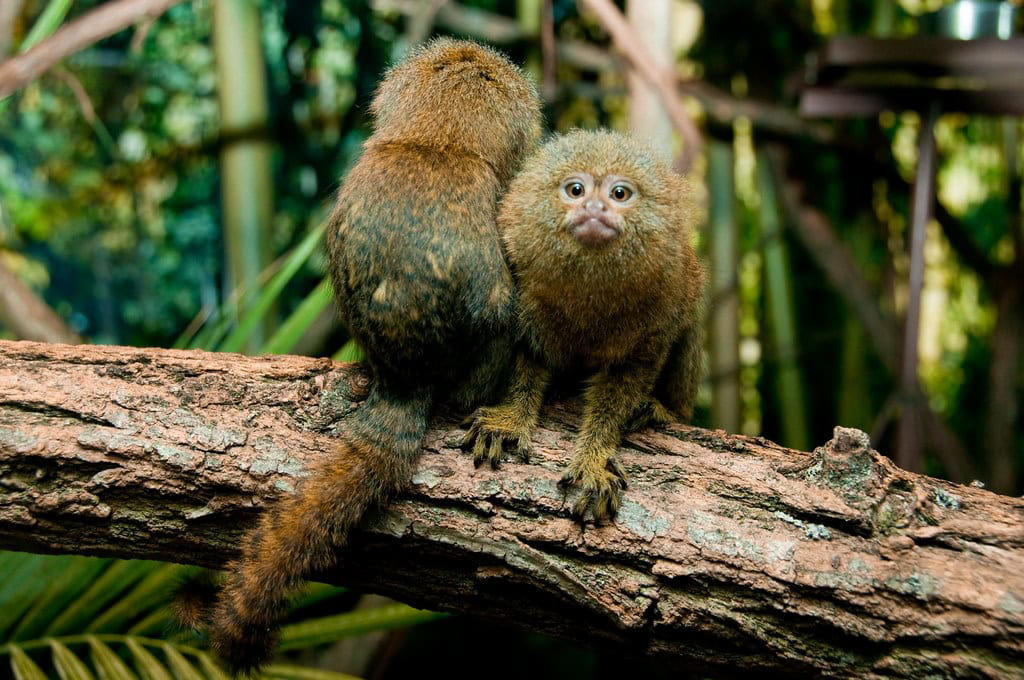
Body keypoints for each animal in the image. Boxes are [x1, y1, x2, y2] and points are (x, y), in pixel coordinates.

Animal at [461, 129, 704, 524]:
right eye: (575, 190)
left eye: (619, 194)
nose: (594, 208)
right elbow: (528, 356)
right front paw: (511, 419)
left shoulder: (661, 307)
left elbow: (625, 382)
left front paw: (594, 459)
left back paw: (659, 409)